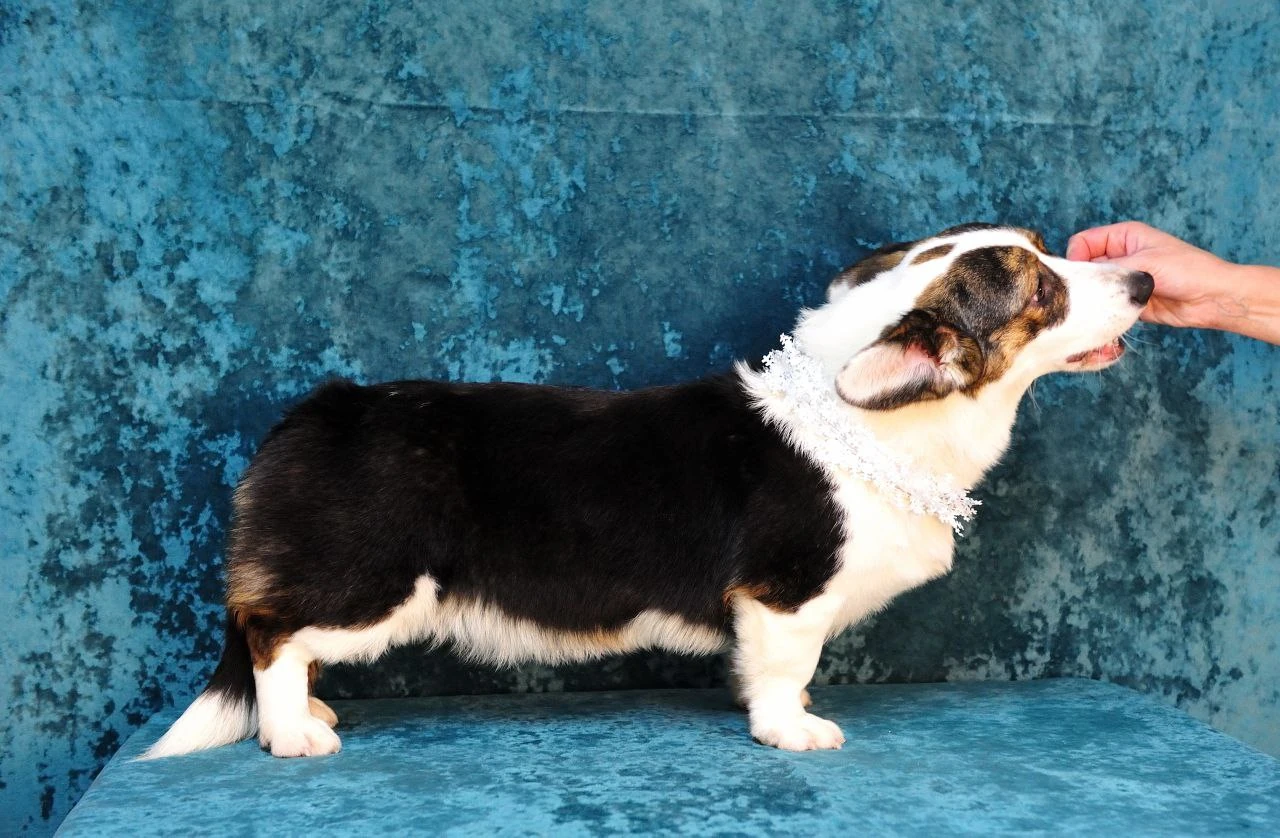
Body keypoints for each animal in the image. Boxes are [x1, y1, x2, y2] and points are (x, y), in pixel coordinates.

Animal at [144, 222, 1152, 758]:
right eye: (1041, 293)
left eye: (1048, 254)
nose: (1144, 276)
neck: (875, 425)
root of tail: (317, 413)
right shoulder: (785, 596)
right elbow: (786, 672)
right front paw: (793, 732)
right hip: (371, 582)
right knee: (273, 635)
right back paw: (294, 734)